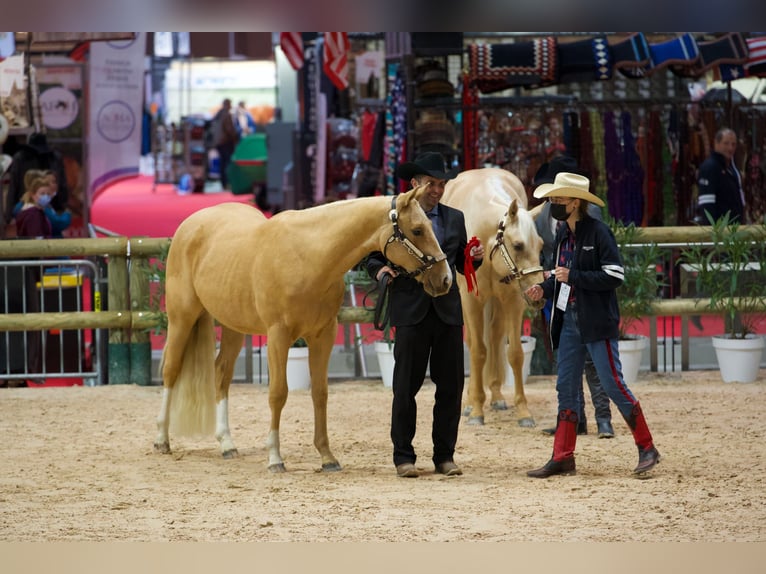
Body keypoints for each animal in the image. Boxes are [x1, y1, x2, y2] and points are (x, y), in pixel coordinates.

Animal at [156, 187, 456, 474]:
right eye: (417, 230)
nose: (445, 280)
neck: (308, 256)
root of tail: (192, 223)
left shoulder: (323, 334)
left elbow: (320, 393)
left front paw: (327, 458)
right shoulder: (278, 335)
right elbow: (278, 393)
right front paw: (275, 458)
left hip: (232, 325)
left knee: (221, 373)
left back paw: (227, 444)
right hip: (182, 317)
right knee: (171, 370)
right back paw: (162, 440)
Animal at [444, 168, 544, 428]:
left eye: (540, 245)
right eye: (517, 245)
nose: (538, 293)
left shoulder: (514, 301)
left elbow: (515, 354)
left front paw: (524, 412)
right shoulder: (471, 301)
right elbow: (478, 352)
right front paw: (477, 411)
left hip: (498, 303)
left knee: (496, 338)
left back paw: (497, 397)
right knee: (474, 343)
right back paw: (470, 404)